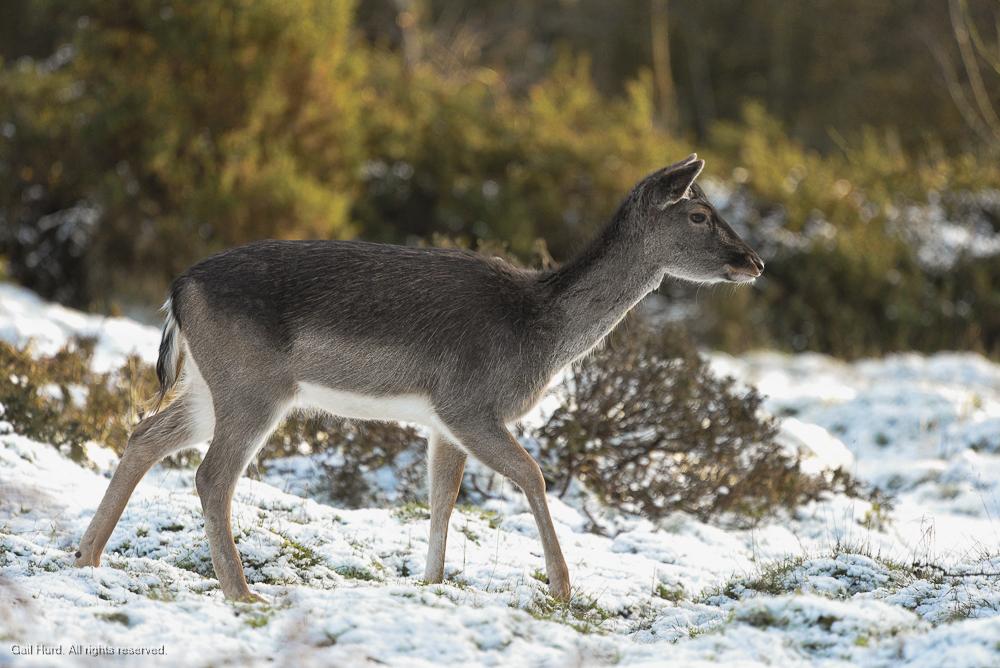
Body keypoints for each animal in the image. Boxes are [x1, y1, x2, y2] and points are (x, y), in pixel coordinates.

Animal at [73, 154, 763, 602]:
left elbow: (441, 498)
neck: (538, 333)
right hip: (252, 386)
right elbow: (533, 475)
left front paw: (429, 583)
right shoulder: (471, 404)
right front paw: (565, 589)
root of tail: (177, 289)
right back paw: (243, 593)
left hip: (206, 386)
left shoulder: (443, 421)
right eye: (700, 215)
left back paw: (87, 555)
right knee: (211, 475)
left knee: (146, 432)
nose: (753, 262)